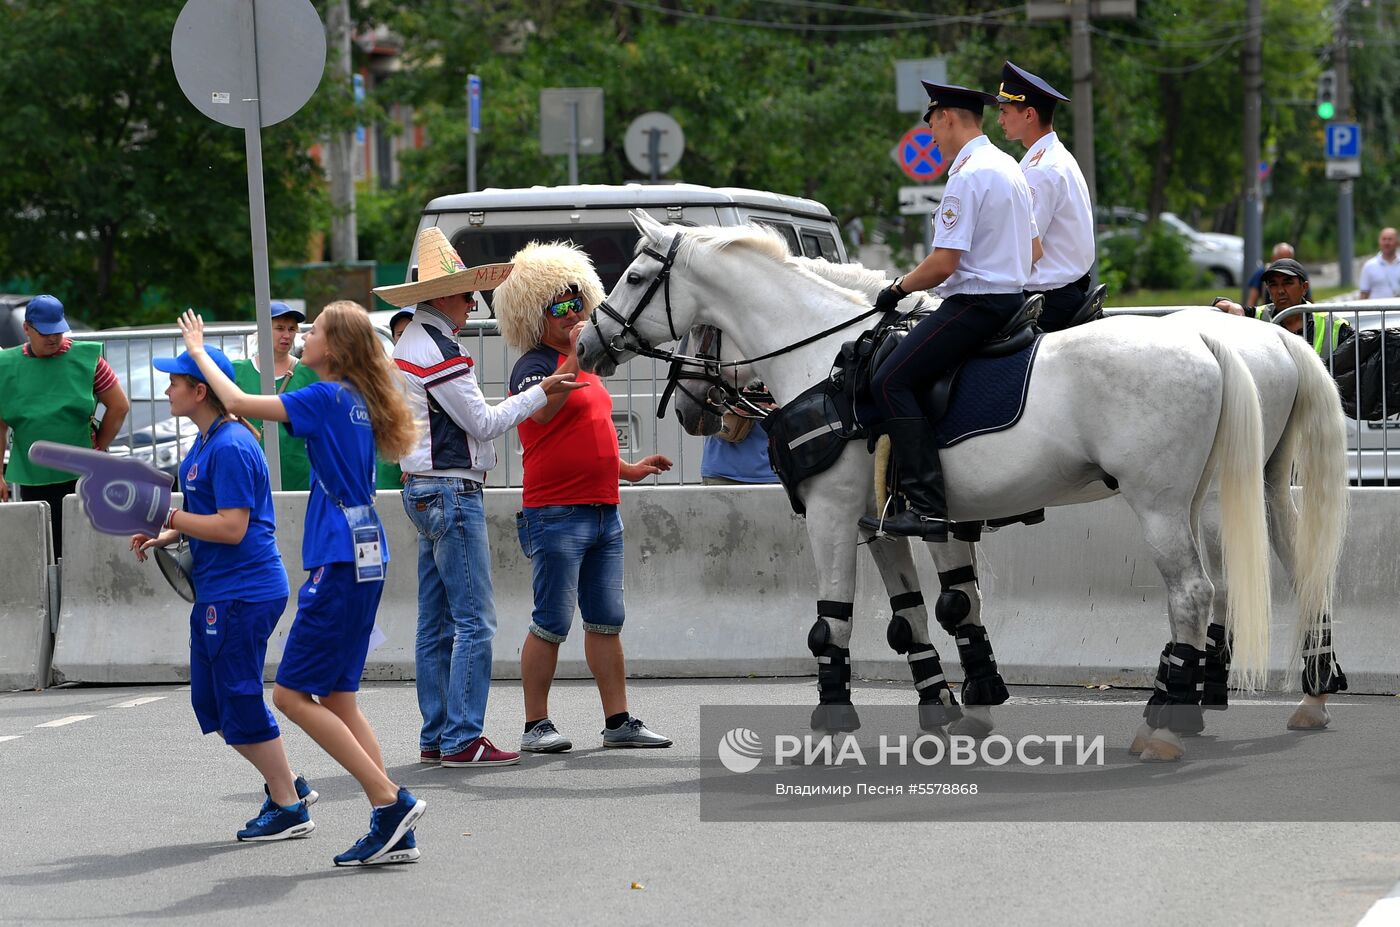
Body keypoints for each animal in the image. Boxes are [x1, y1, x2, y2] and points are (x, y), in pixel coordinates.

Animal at [574, 212, 1276, 761]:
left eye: (633, 277)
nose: (586, 345)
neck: (826, 358)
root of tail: (1202, 336)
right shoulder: (882, 524)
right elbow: (917, 616)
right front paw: (946, 712)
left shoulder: (831, 516)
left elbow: (831, 624)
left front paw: (830, 728)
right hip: (1193, 502)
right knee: (1211, 590)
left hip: (1158, 506)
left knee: (1191, 593)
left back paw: (1167, 722)